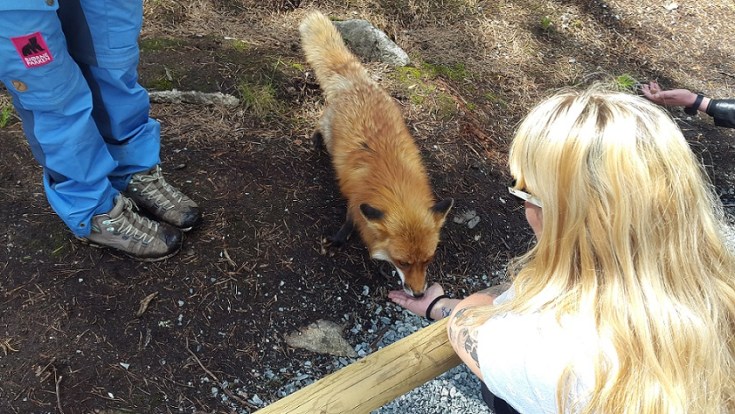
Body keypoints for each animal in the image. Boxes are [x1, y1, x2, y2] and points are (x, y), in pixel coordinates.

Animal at [299, 11, 453, 297]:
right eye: (403, 262)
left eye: (427, 260)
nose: (419, 294)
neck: (395, 185)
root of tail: (357, 82)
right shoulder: (356, 200)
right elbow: (350, 223)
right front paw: (339, 240)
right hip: (329, 130)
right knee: (319, 123)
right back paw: (315, 140)